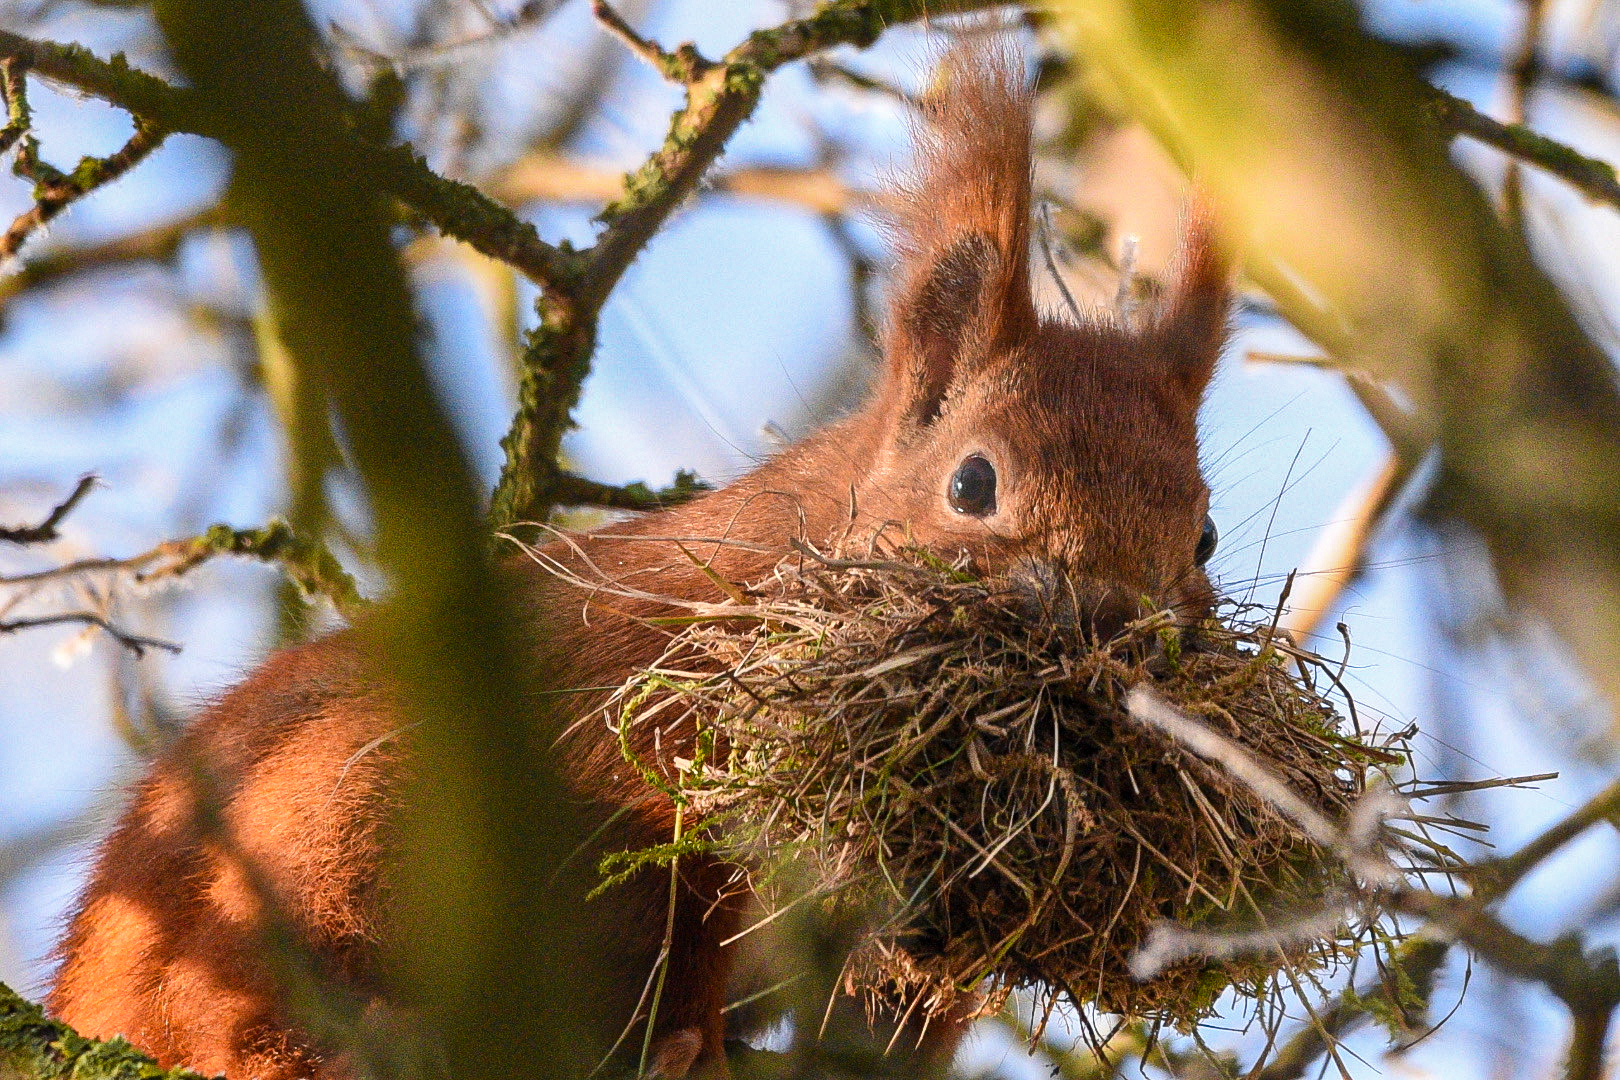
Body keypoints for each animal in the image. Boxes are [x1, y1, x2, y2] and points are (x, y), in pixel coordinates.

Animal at [47, 38, 1224, 1080]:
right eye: (973, 485)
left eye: (1205, 536)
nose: (1110, 619)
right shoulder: (640, 719)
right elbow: (672, 908)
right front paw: (688, 1045)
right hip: (313, 844)